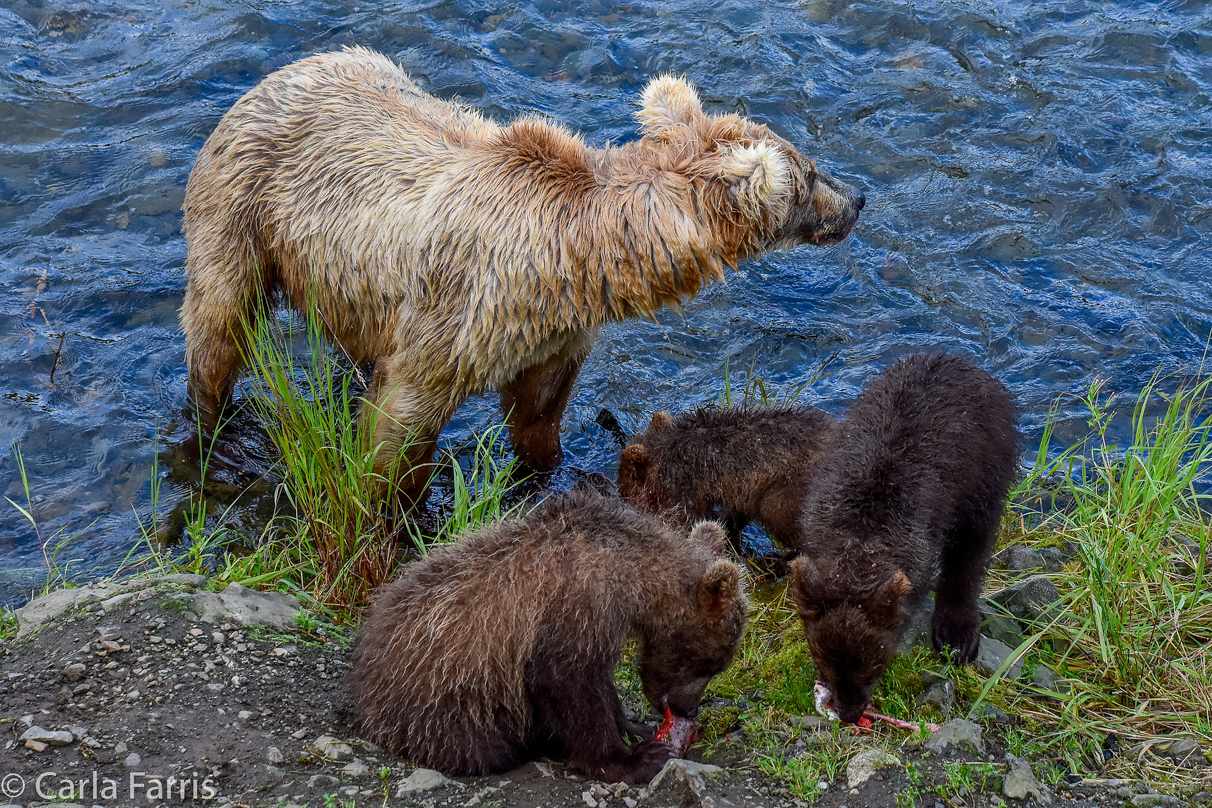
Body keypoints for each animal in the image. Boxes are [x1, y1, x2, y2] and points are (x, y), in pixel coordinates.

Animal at [181, 45, 862, 506]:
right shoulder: (460, 315)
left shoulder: (553, 332)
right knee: (219, 325)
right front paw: (390, 517)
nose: (856, 198)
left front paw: (543, 477)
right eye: (809, 173)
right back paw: (209, 429)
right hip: (243, 208)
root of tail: (281, 71)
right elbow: (398, 426)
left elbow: (538, 415)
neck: (577, 260)